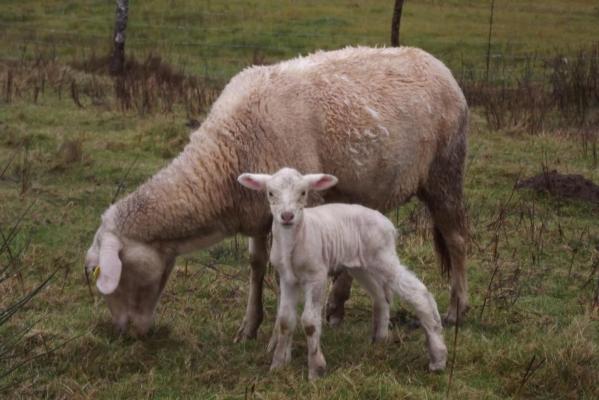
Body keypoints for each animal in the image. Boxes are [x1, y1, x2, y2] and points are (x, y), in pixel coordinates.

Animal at [84, 47, 472, 340]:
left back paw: (456, 310)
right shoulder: (257, 209)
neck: (227, 154)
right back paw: (336, 306)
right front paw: (249, 326)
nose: (124, 333)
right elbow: (256, 265)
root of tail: (437, 63)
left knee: (456, 239)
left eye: (102, 272)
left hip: (445, 171)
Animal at [237, 167, 448, 380]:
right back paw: (379, 339)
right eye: (270, 193)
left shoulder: (317, 275)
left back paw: (438, 356)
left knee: (419, 294)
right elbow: (285, 321)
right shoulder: (287, 278)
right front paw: (278, 365)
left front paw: (316, 369)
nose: (287, 216)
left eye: (303, 193)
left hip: (383, 256)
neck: (297, 237)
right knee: (381, 295)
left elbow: (310, 322)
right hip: (361, 265)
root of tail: (388, 223)